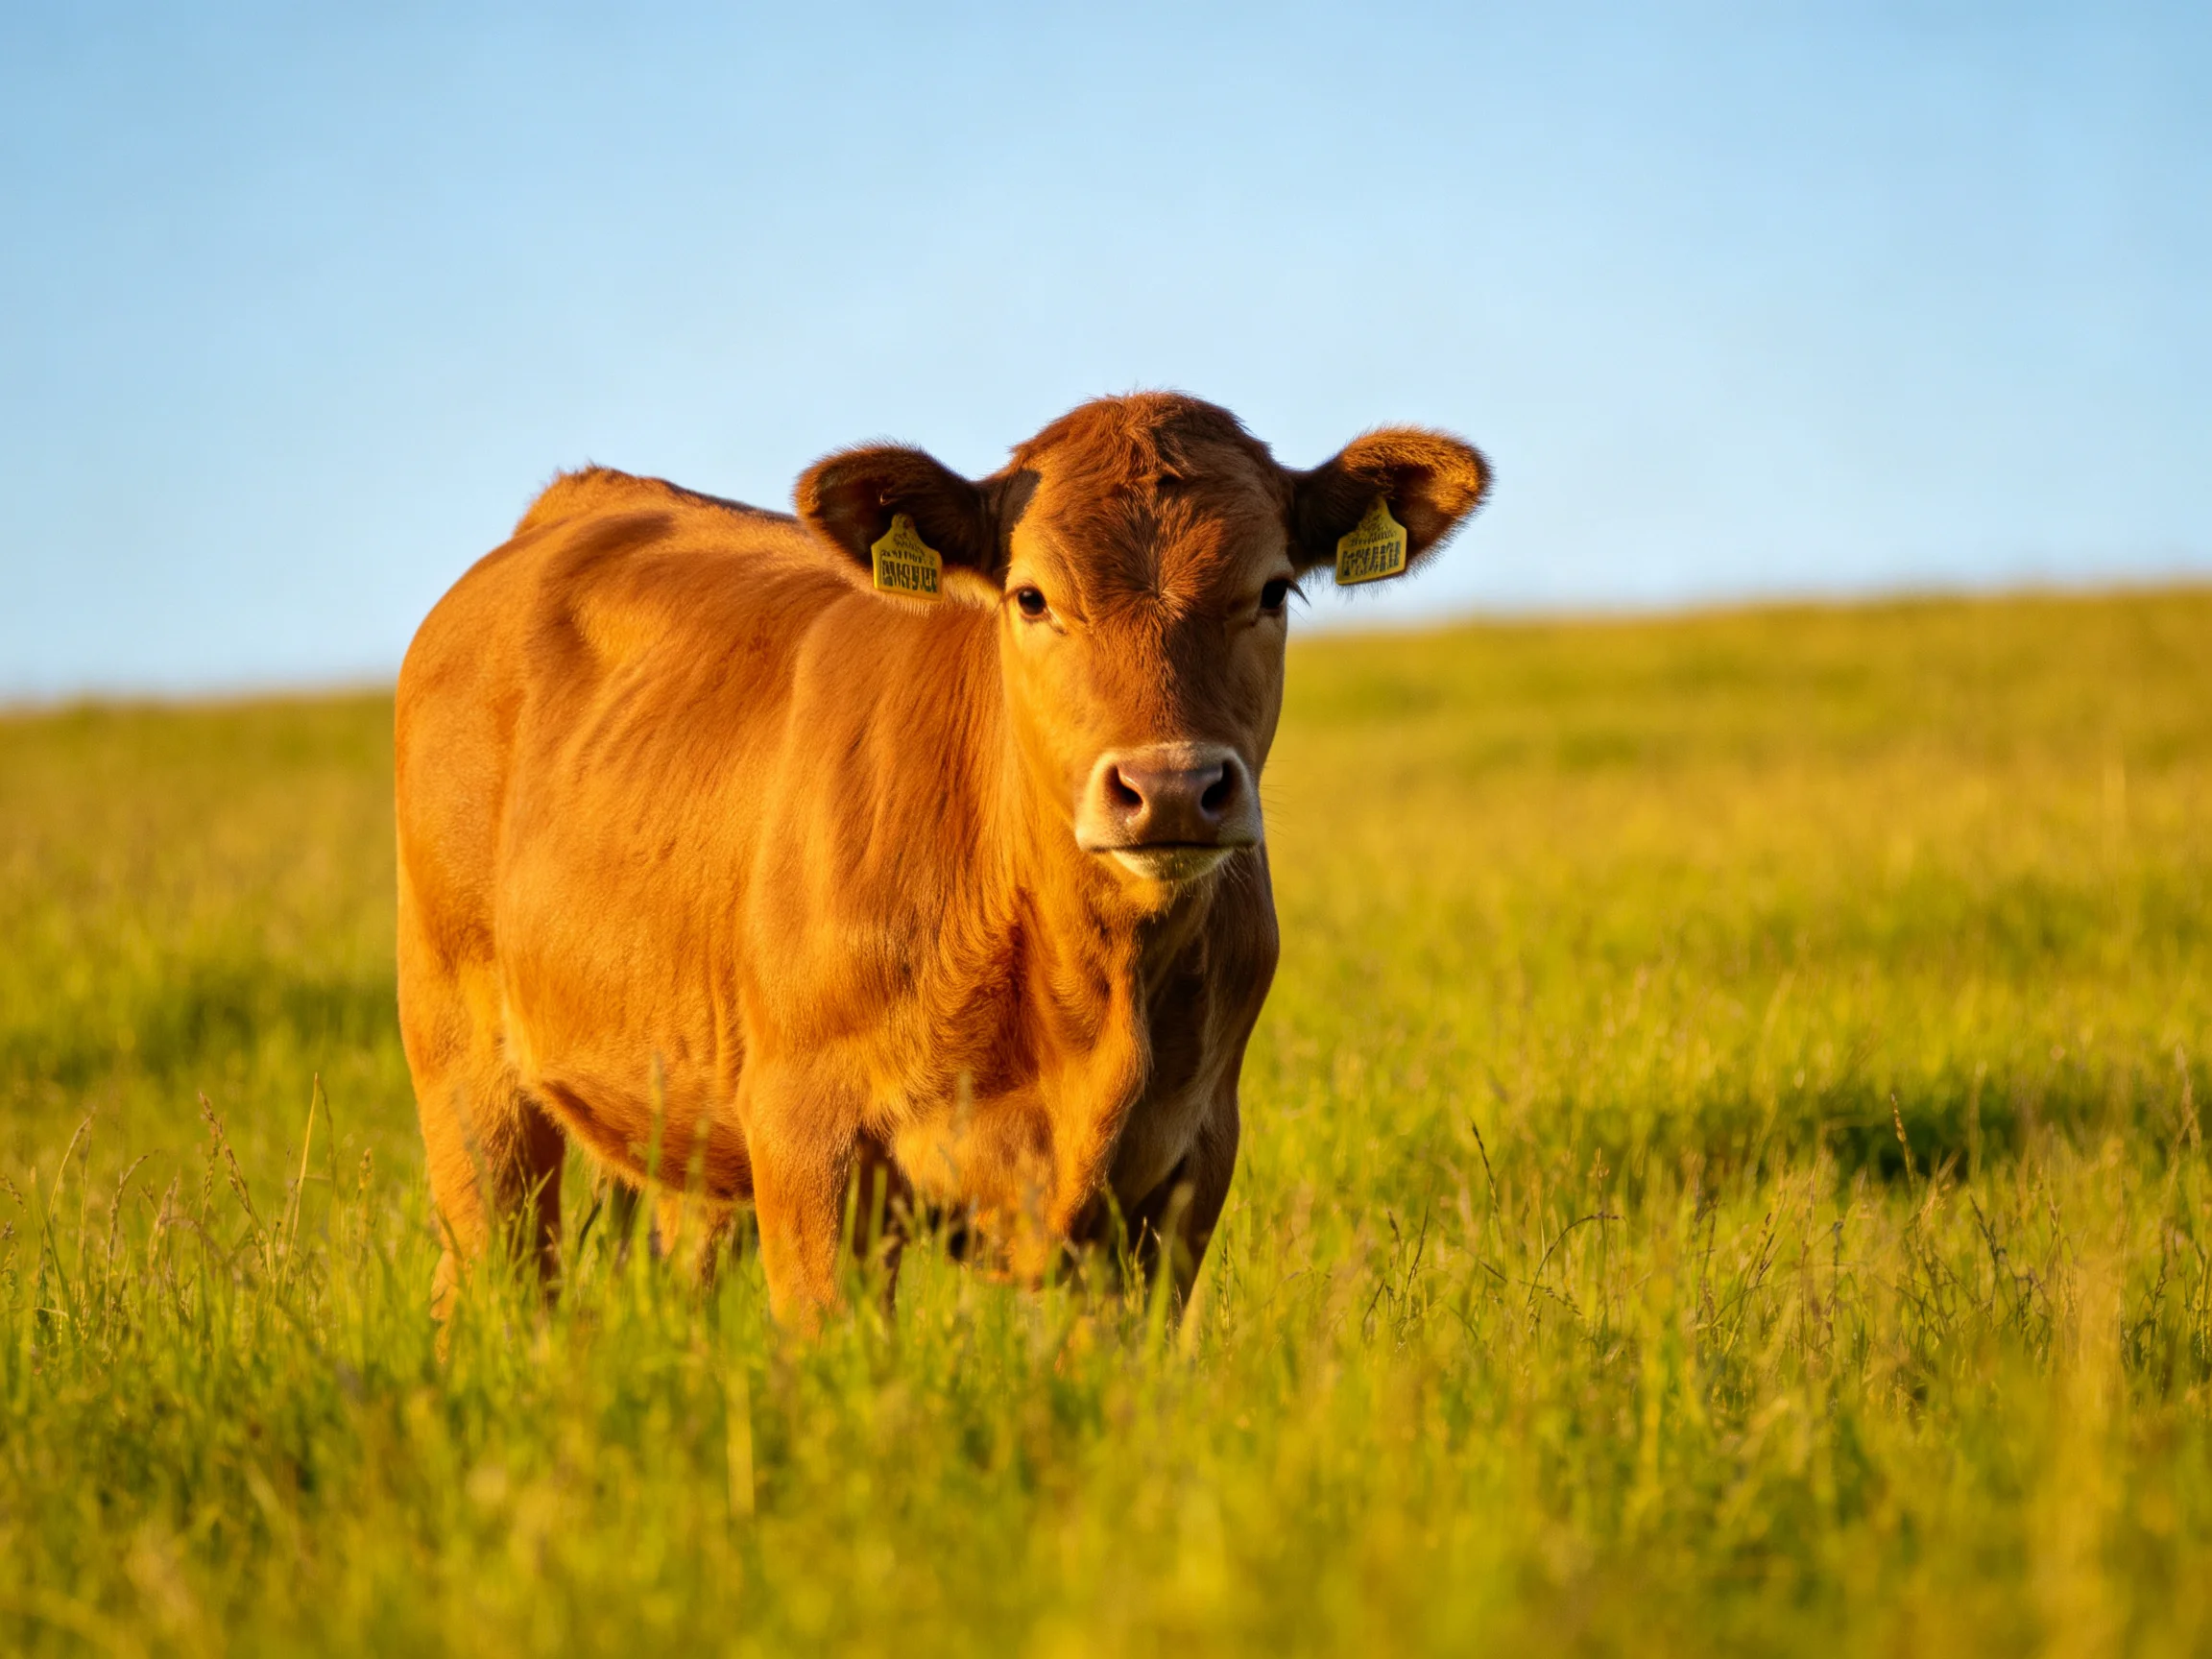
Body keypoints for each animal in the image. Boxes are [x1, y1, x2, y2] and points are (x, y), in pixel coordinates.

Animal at [395, 392, 1489, 1330]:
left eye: (1270, 591)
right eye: (1031, 596)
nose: (1172, 785)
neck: (1086, 988)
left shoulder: (1186, 1165)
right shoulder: (809, 1143)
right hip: (465, 1059)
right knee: (490, 1278)